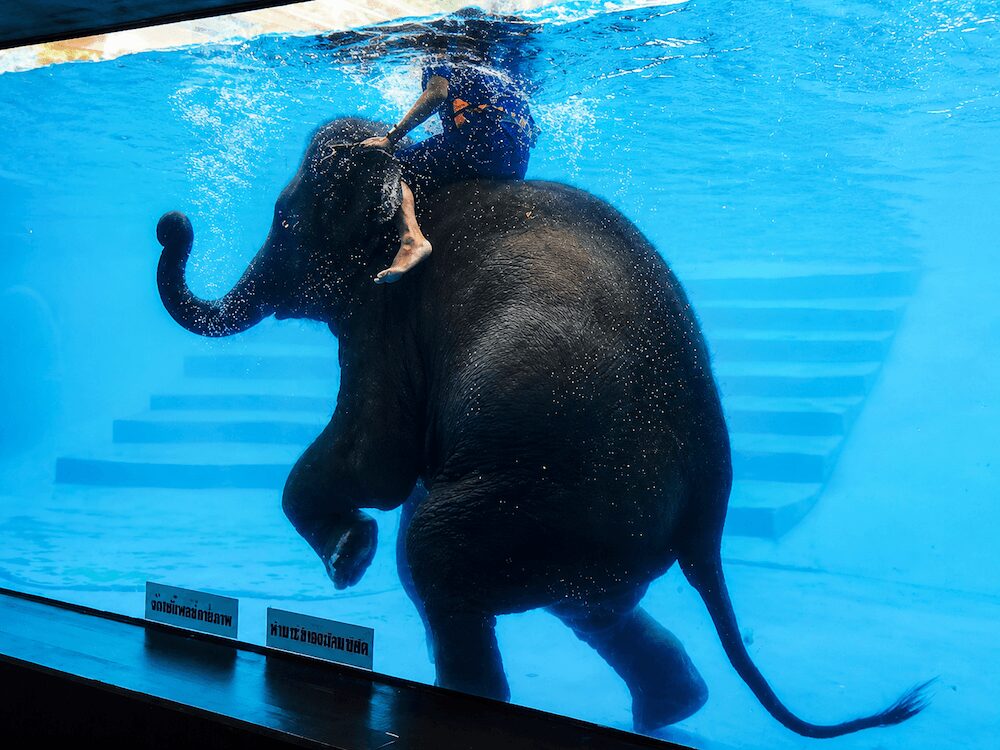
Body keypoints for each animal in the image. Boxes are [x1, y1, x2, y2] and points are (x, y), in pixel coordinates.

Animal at [156, 116, 930, 737]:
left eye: (285, 218)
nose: (173, 224)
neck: (415, 164)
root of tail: (708, 526)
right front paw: (352, 552)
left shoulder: (386, 312)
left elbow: (377, 458)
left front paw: (352, 557)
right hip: (584, 526)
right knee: (582, 602)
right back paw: (672, 710)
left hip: (558, 497)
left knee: (431, 552)